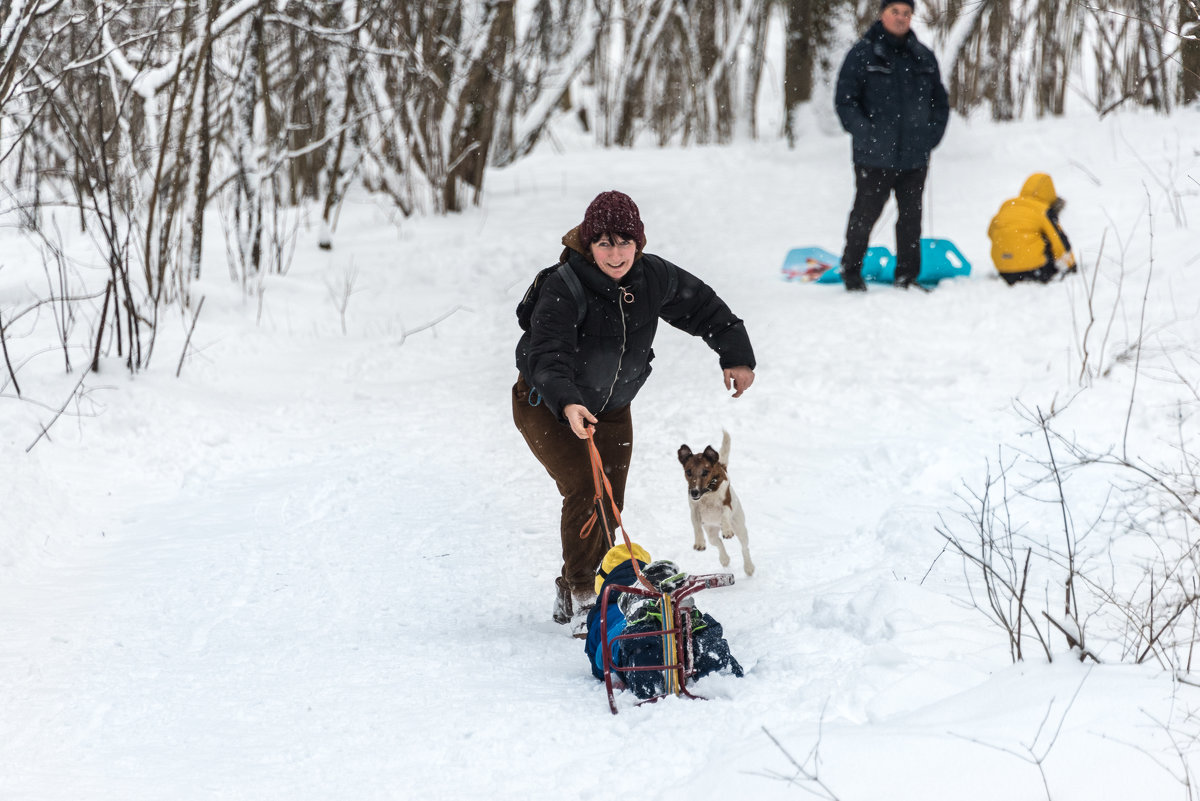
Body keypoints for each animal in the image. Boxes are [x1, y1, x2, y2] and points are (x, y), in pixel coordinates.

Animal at [681, 431, 753, 575]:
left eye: (705, 472)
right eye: (688, 472)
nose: (694, 492)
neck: (708, 492)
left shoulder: (726, 503)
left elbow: (724, 514)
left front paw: (727, 530)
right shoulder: (694, 511)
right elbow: (696, 527)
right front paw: (699, 543)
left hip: (740, 527)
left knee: (744, 547)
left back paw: (749, 567)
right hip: (711, 532)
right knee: (718, 542)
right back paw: (724, 559)